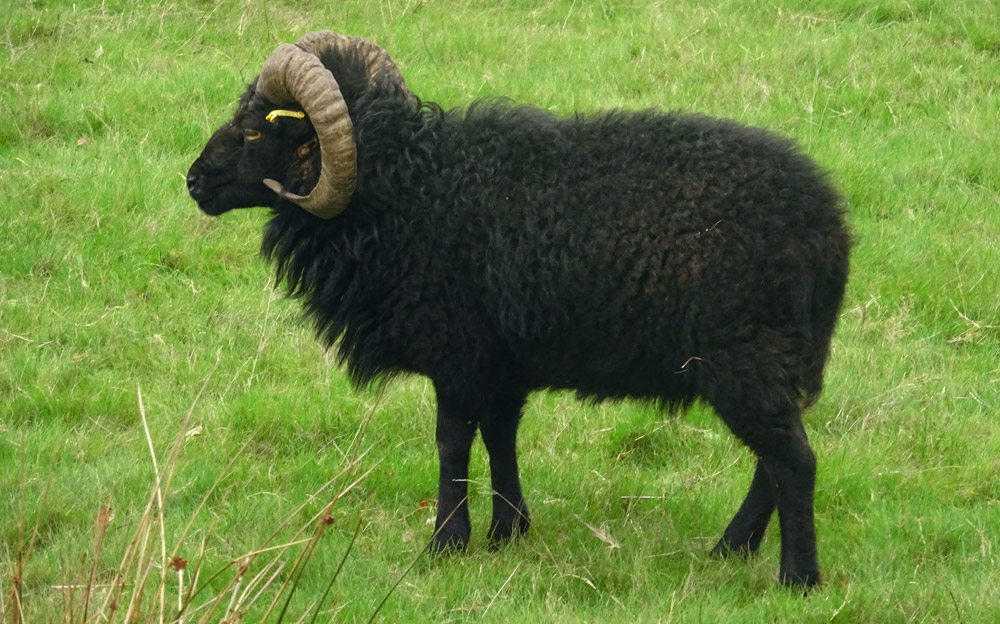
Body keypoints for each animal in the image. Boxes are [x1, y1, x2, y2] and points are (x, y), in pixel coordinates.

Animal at [188, 31, 852, 588]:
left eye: (255, 130)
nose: (193, 181)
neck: (407, 188)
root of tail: (828, 224)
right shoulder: (500, 356)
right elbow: (501, 434)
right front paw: (509, 530)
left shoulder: (456, 350)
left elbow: (453, 441)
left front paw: (446, 542)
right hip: (777, 356)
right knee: (775, 457)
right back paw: (732, 548)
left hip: (744, 352)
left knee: (793, 459)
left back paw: (796, 577)